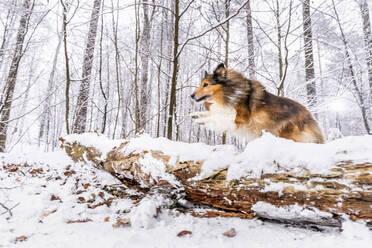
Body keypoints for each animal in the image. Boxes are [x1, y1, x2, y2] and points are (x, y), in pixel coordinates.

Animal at [190, 63, 324, 143]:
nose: (191, 96)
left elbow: (218, 118)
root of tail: (312, 118)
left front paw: (201, 120)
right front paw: (195, 115)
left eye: (206, 84)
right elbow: (212, 114)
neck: (229, 92)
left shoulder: (238, 119)